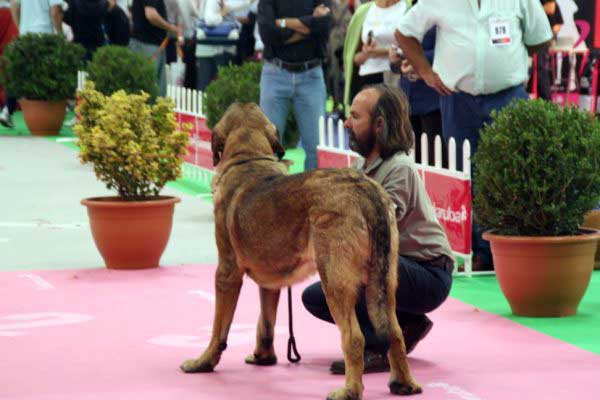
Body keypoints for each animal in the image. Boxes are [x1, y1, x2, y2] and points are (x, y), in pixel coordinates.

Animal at [180, 104, 420, 400]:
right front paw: (263, 357)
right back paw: (403, 384)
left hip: (335, 282)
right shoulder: (270, 282)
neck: (248, 158)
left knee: (353, 337)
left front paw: (203, 362)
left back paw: (349, 391)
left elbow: (218, 328)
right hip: (384, 283)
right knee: (395, 332)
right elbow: (266, 323)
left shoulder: (226, 273)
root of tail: (364, 189)